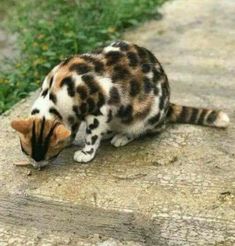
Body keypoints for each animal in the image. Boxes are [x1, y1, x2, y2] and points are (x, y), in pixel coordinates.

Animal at [10, 41, 229, 168]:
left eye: (52, 154)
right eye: (26, 151)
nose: (37, 166)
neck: (54, 93)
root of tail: (167, 105)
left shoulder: (99, 108)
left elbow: (91, 134)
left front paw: (86, 153)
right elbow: (73, 127)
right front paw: (70, 138)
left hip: (145, 116)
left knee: (151, 129)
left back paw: (122, 137)